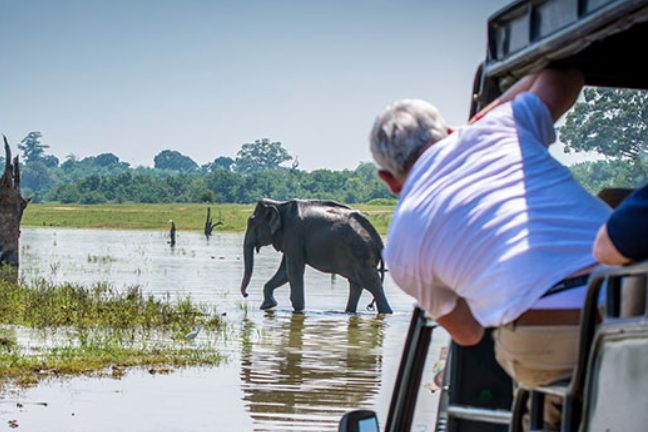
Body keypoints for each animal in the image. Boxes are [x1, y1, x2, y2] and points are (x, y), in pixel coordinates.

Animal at [240, 199, 393, 314]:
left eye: (252, 223)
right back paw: (350, 312)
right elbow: (284, 272)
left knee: (373, 284)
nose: (246, 294)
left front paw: (298, 310)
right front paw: (267, 306)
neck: (279, 204)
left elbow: (293, 271)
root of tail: (378, 240)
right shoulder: (290, 239)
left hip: (362, 253)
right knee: (357, 284)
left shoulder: (293, 234)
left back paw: (386, 312)